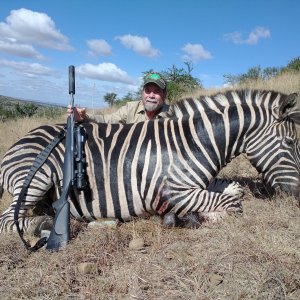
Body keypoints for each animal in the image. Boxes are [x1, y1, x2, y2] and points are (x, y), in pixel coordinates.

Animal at [0, 90, 298, 236]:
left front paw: (228, 188)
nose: (296, 195)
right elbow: (232, 206)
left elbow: (230, 186)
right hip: (37, 177)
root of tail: (18, 142)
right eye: (291, 143)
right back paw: (44, 226)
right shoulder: (173, 192)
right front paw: (195, 217)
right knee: (8, 219)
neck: (195, 142)